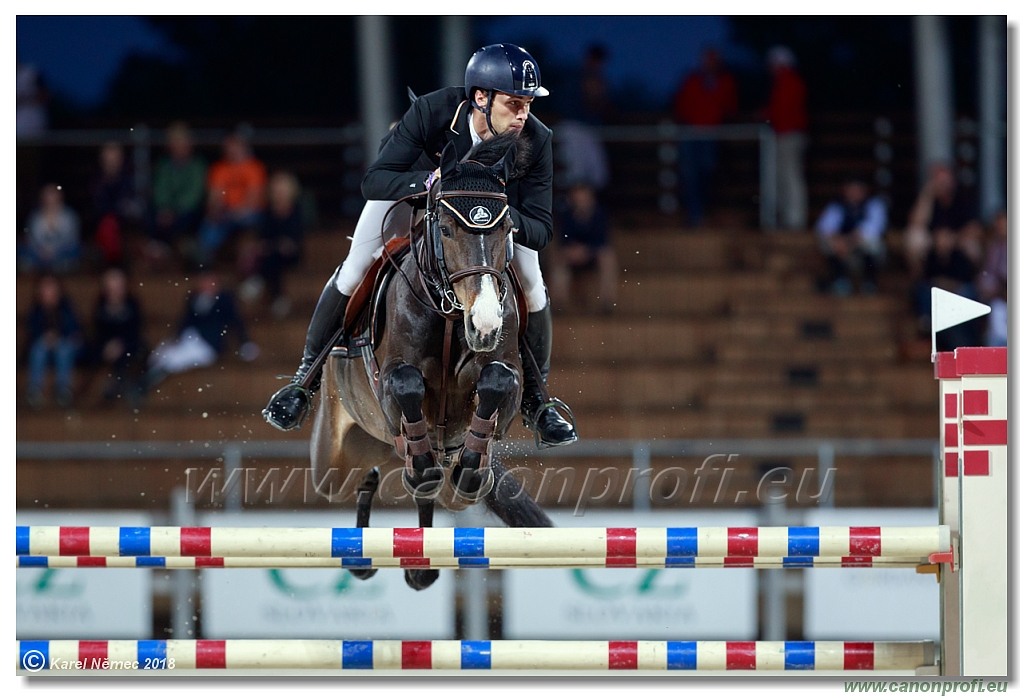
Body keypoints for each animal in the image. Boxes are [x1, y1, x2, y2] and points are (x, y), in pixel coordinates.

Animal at [309, 133, 552, 589]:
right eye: (445, 228)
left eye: (507, 229)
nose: (485, 324)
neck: (450, 316)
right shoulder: (388, 383)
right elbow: (405, 386)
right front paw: (421, 464)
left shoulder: (506, 380)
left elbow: (499, 381)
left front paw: (471, 468)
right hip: (332, 461)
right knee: (365, 478)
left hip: (438, 485)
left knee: (440, 492)